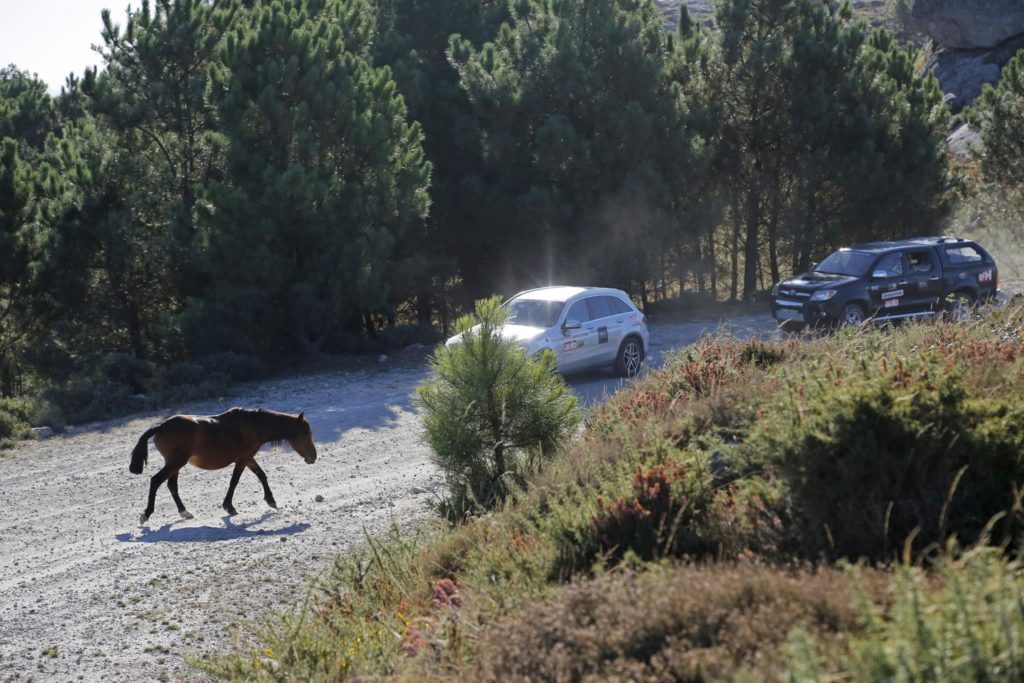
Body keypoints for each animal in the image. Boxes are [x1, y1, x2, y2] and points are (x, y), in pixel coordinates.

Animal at [130, 409, 317, 528]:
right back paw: (146, 514)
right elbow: (234, 481)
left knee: (171, 486)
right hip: (175, 463)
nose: (313, 457)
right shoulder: (243, 459)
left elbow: (261, 475)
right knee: (156, 481)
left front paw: (271, 500)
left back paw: (184, 512)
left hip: (175, 464)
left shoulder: (249, 458)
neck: (254, 425)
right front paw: (229, 506)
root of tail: (161, 427)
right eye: (305, 434)